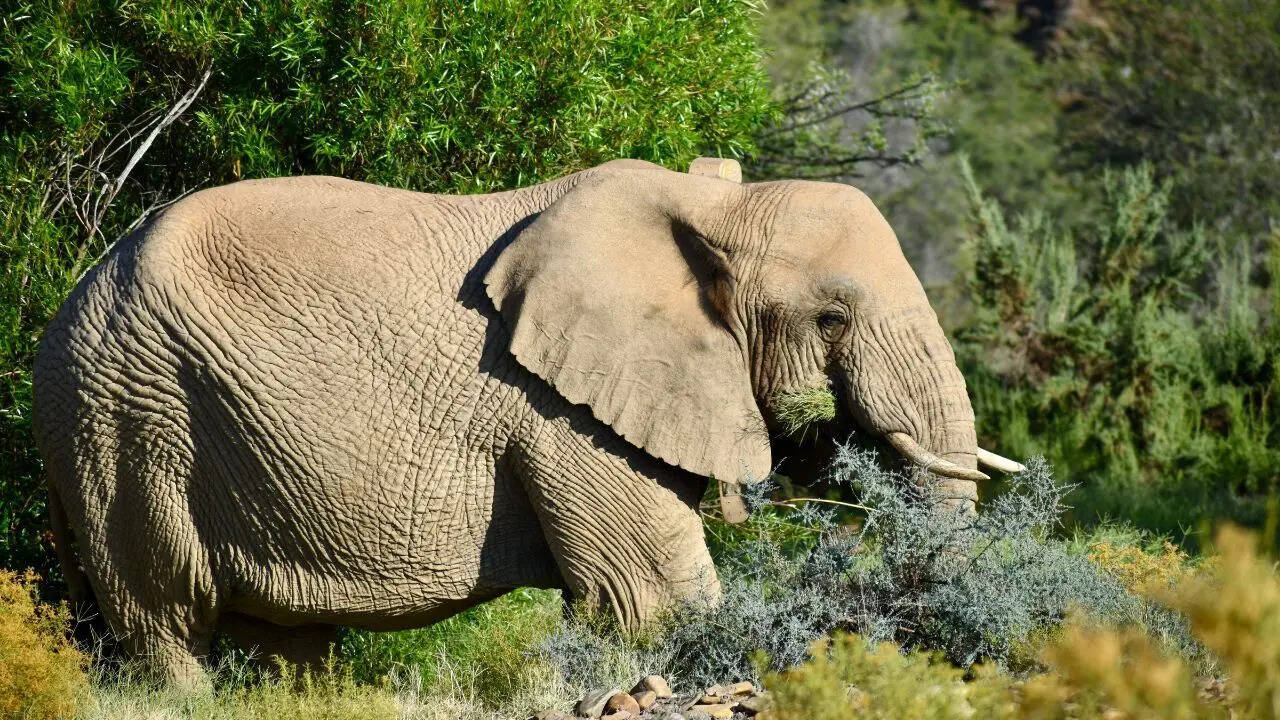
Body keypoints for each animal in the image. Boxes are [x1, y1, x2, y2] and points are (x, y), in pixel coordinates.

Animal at [33, 157, 1024, 682]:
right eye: (832, 318)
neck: (707, 206)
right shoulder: (557, 413)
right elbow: (653, 603)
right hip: (126, 420)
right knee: (164, 625)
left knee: (277, 646)